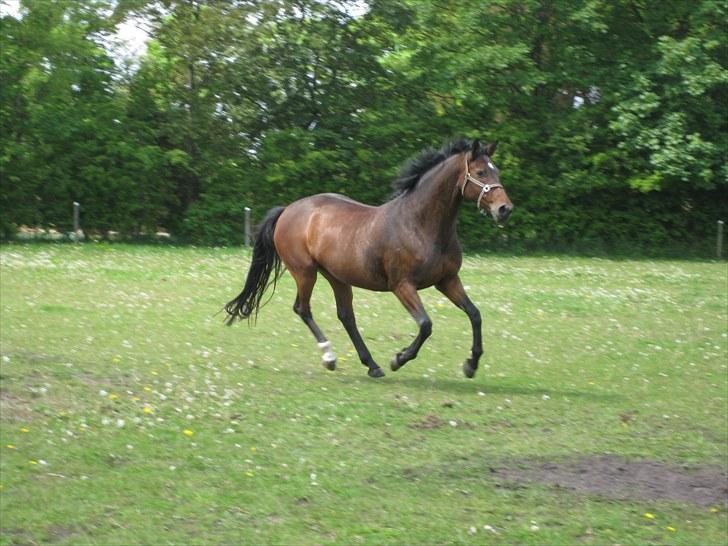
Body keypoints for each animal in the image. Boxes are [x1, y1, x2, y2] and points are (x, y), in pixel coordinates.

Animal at [225, 139, 516, 378]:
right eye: (481, 172)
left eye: (497, 171)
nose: (505, 209)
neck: (420, 224)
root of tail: (288, 209)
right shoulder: (402, 286)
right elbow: (425, 325)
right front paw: (399, 359)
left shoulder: (447, 280)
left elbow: (475, 315)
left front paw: (471, 365)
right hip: (305, 272)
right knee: (303, 309)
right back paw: (330, 357)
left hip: (337, 277)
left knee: (346, 316)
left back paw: (372, 365)